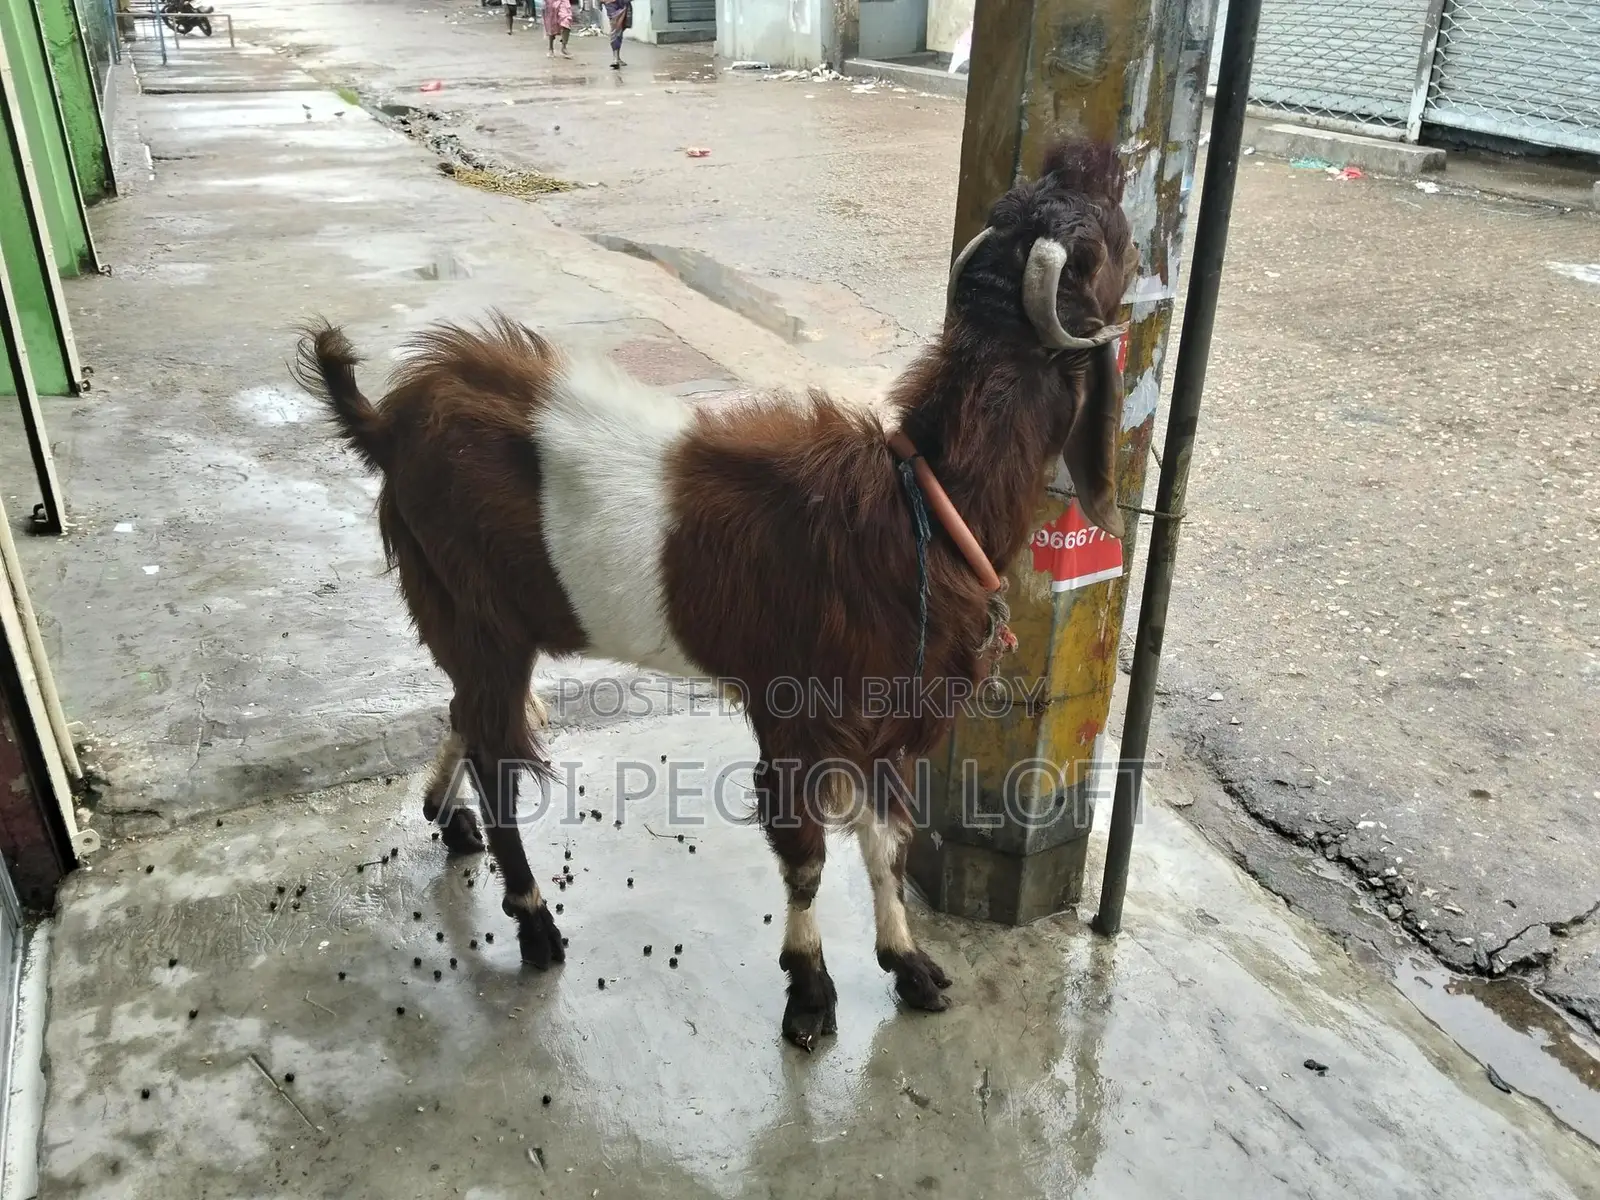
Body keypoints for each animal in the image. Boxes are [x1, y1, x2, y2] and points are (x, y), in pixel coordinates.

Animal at [295, 136, 1135, 1049]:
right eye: (1101, 246)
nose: (1117, 187)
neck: (922, 500)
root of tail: (391, 421)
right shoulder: (798, 713)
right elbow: (806, 857)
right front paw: (810, 992)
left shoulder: (888, 716)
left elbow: (887, 845)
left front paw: (910, 966)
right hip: (471, 607)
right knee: (496, 750)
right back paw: (535, 920)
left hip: (472, 612)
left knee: (468, 713)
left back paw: (447, 819)